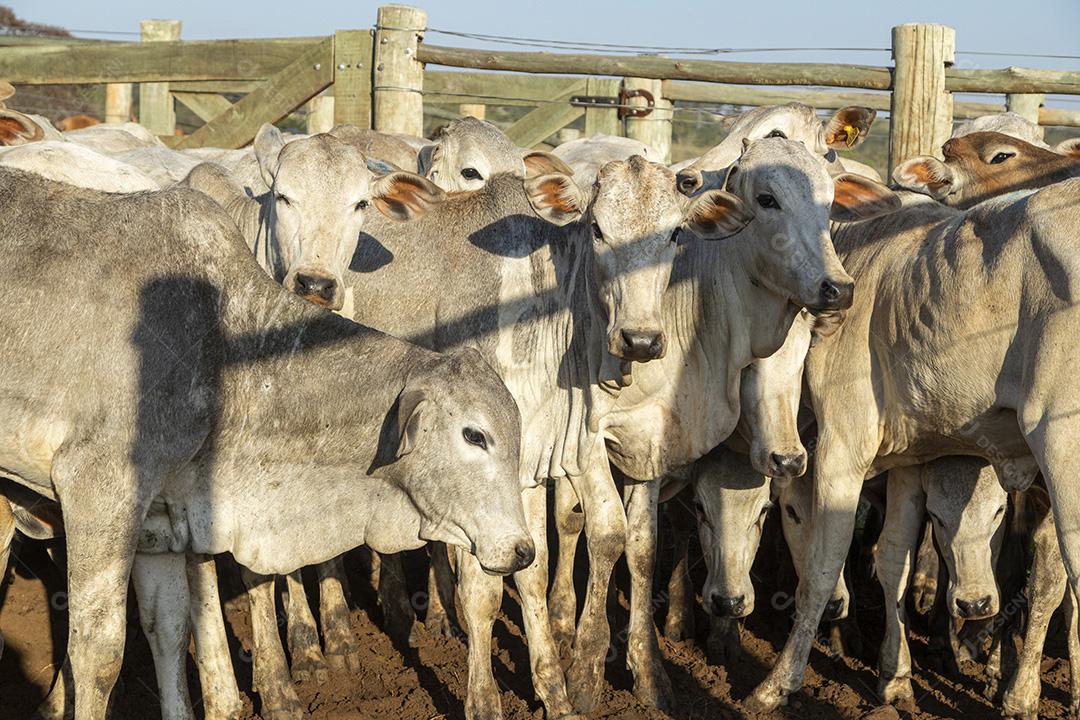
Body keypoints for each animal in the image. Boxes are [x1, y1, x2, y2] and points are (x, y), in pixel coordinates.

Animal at [0, 168, 533, 720]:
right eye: (474, 434)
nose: (523, 550)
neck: (224, 349)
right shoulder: (100, 489)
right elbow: (99, 652)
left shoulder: (156, 523)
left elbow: (168, 631)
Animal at [743, 179, 1080, 713]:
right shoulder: (907, 462)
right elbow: (892, 557)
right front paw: (895, 677)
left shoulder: (843, 445)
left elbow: (822, 566)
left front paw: (777, 683)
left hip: (1062, 449)